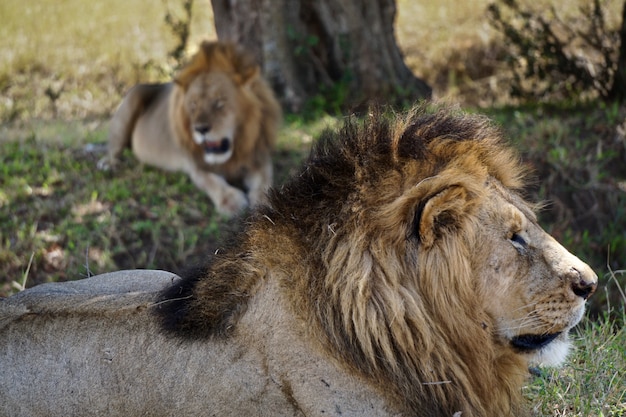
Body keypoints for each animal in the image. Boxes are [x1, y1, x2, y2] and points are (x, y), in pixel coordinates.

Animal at [97, 40, 280, 216]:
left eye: (219, 103)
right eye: (193, 105)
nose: (200, 129)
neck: (234, 153)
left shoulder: (259, 156)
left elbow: (265, 180)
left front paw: (267, 202)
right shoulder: (196, 164)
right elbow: (211, 181)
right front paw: (231, 201)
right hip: (132, 99)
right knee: (113, 146)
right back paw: (108, 163)